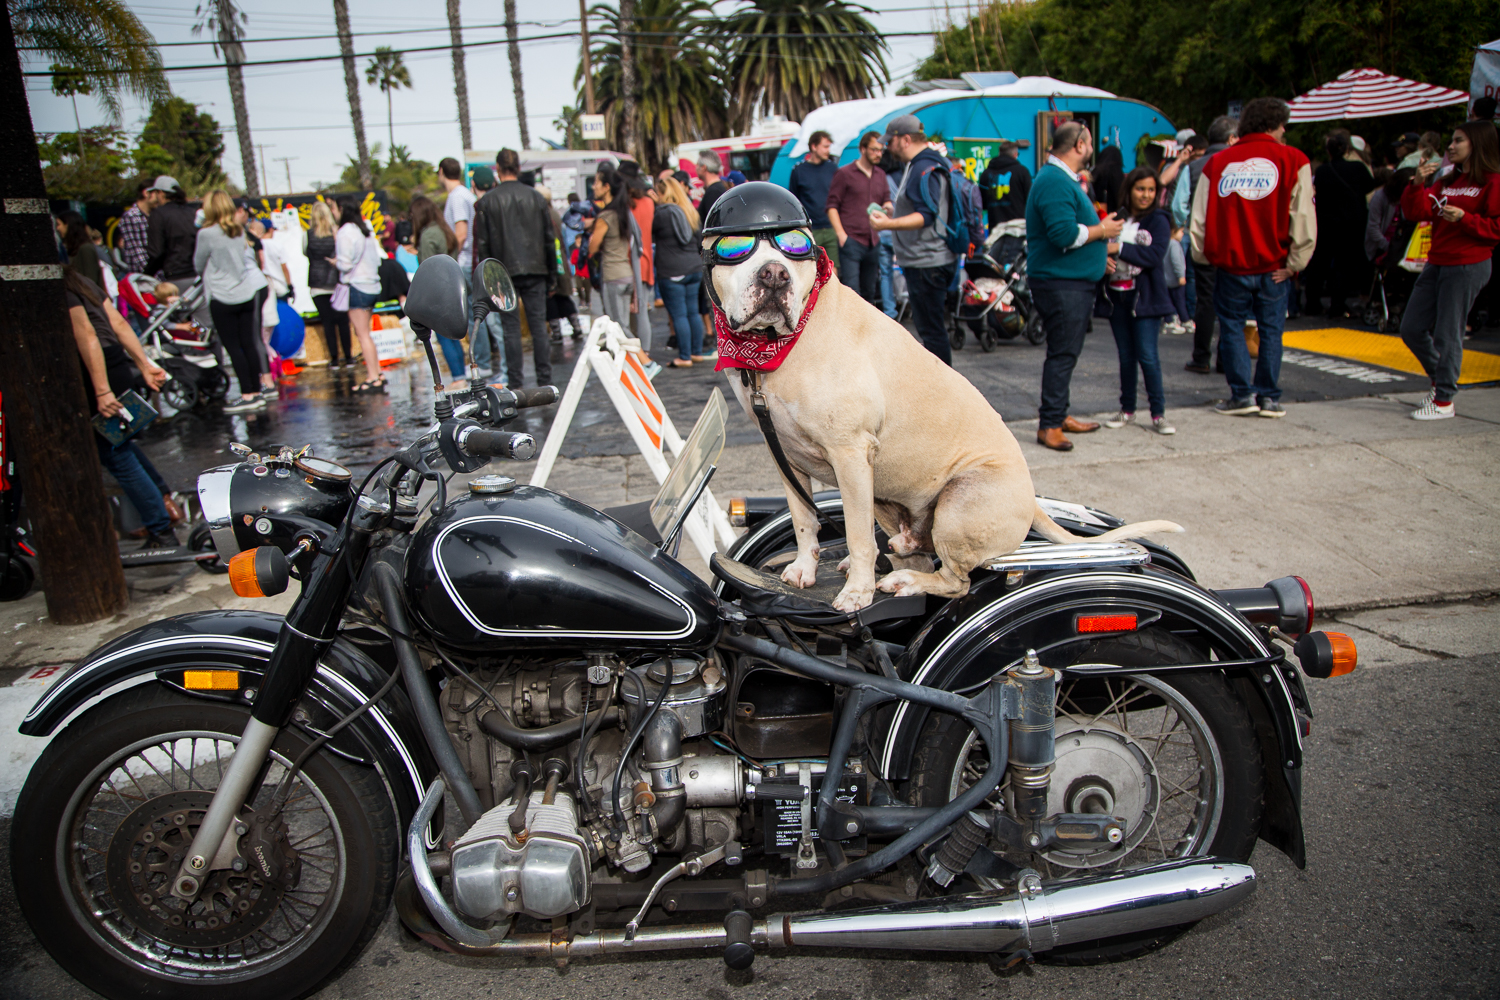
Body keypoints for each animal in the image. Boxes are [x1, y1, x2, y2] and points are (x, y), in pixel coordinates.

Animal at [708, 230, 1176, 614]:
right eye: (735, 248)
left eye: (795, 247)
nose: (774, 275)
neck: (780, 344)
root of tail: (1032, 501)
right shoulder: (785, 456)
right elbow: (804, 519)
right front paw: (805, 569)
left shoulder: (851, 455)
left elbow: (856, 535)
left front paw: (858, 592)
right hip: (888, 494)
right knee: (916, 548)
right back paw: (897, 553)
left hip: (957, 503)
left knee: (955, 581)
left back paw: (902, 580)